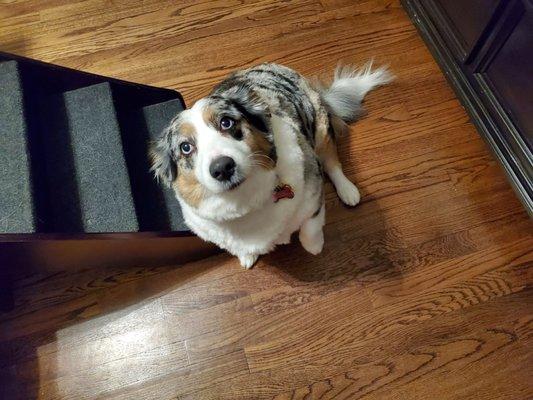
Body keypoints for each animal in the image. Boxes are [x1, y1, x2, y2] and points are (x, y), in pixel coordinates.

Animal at [150, 62, 390, 268]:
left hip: (320, 129)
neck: (243, 199)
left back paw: (348, 191)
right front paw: (247, 257)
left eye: (226, 122)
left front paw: (314, 246)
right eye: (185, 147)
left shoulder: (314, 189)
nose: (223, 168)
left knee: (332, 162)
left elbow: (310, 226)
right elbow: (241, 248)